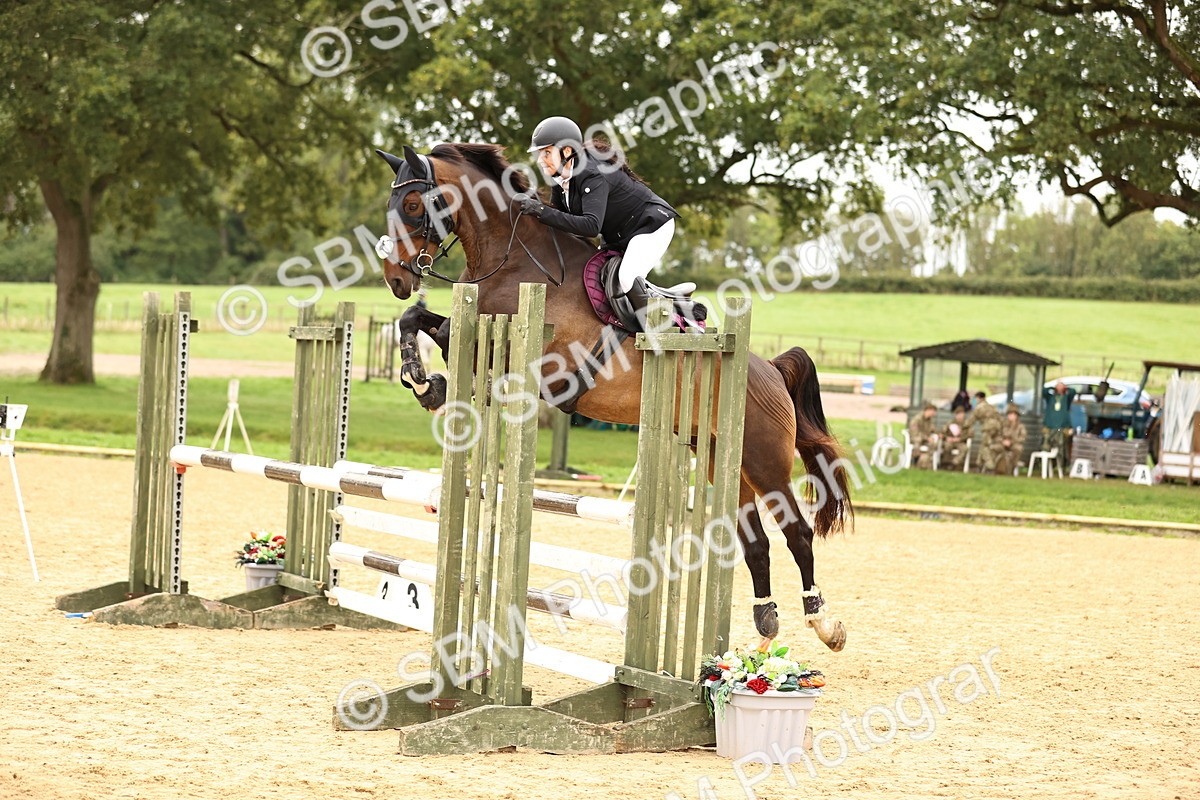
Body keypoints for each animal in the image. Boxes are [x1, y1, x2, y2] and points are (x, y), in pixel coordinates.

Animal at [375, 142, 852, 652]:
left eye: (412, 204)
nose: (395, 278)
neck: (514, 259)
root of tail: (770, 371)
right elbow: (416, 320)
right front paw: (424, 381)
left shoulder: (547, 359)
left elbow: (444, 332)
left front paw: (431, 383)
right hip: (722, 459)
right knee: (755, 542)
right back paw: (765, 625)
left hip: (765, 462)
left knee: (798, 533)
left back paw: (823, 622)